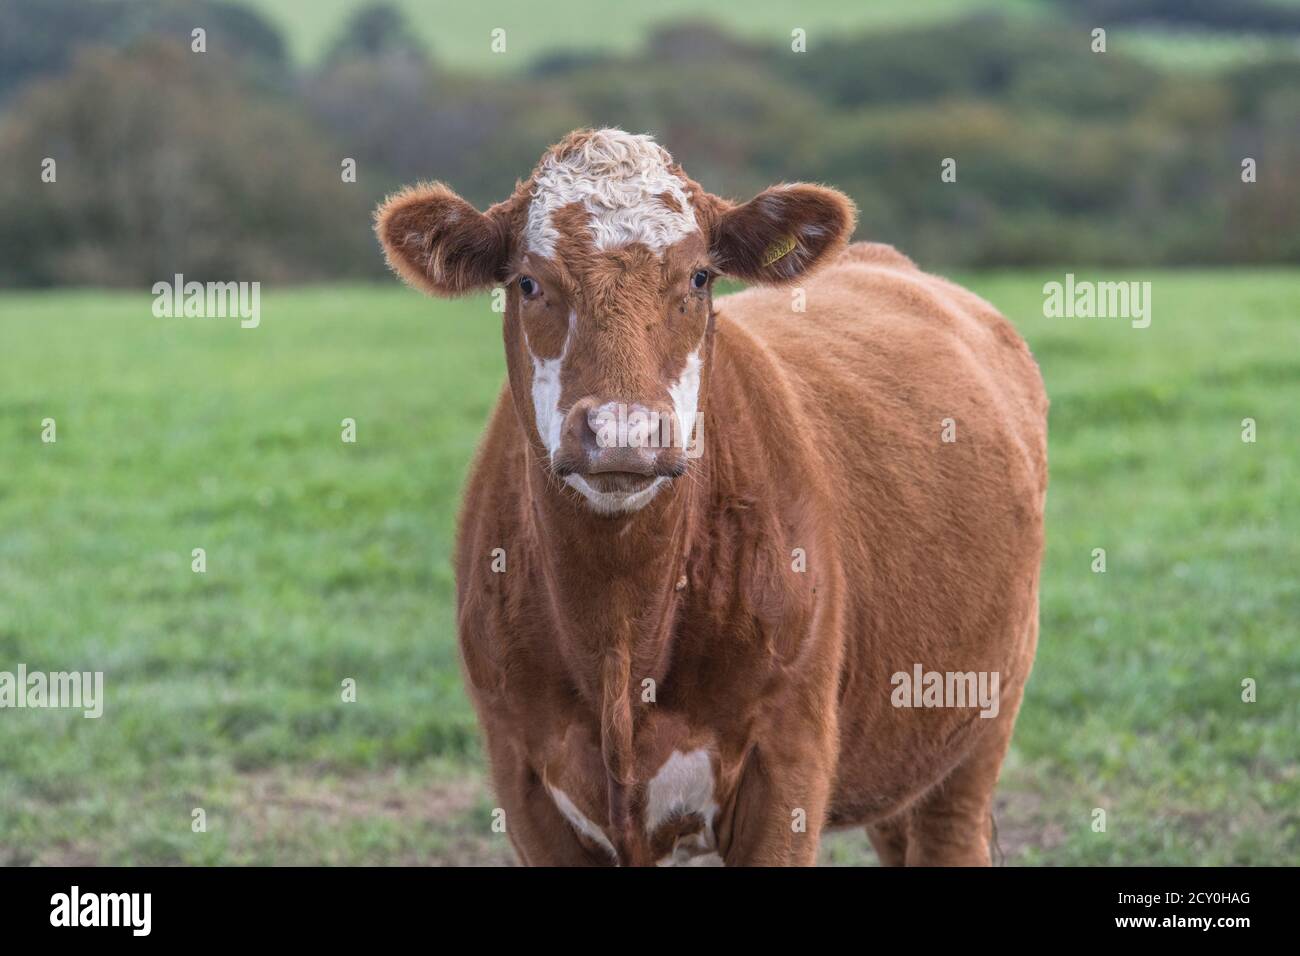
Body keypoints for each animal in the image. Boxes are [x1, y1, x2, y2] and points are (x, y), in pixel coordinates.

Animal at [374, 128, 1048, 866]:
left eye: (699, 277)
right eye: (528, 281)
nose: (624, 431)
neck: (619, 628)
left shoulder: (787, 761)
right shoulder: (521, 774)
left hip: (978, 727)